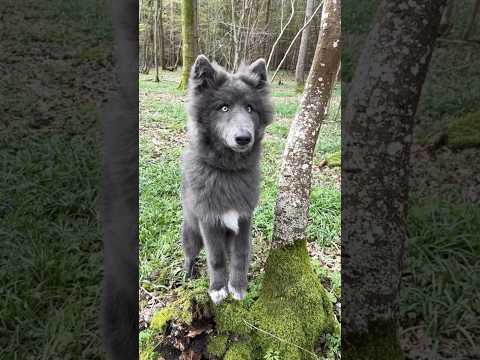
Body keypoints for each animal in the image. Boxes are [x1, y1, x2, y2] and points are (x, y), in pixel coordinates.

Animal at [181, 54, 272, 304]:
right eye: (224, 107)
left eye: (250, 108)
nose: (243, 138)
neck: (228, 171)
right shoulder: (209, 222)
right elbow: (216, 258)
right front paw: (218, 289)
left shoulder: (243, 220)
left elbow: (240, 256)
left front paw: (238, 287)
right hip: (191, 233)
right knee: (190, 255)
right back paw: (187, 274)